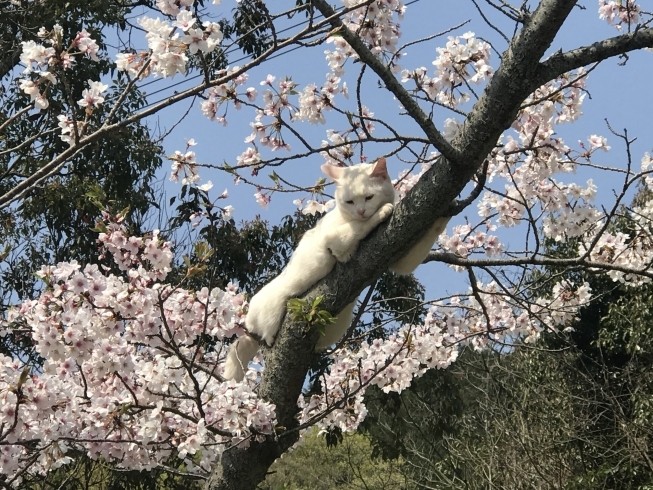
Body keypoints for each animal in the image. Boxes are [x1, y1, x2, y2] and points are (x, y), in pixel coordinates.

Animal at [224, 159, 394, 380]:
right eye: (349, 202)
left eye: (368, 197)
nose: (361, 211)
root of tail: (248, 325)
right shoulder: (335, 240)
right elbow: (359, 228)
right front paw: (383, 211)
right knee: (268, 335)